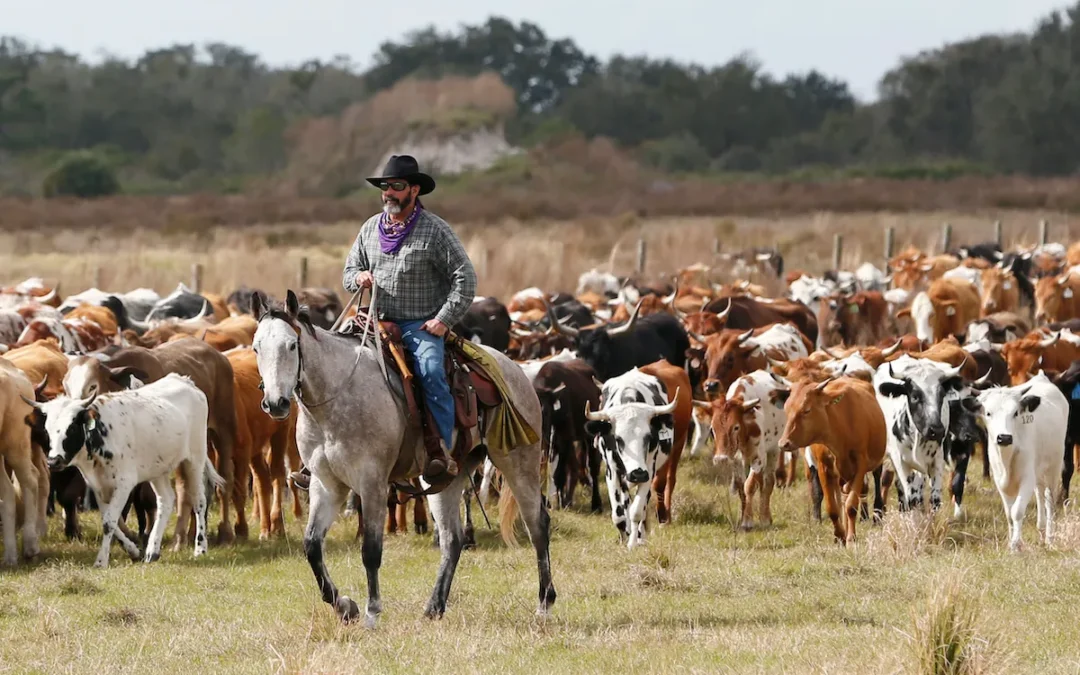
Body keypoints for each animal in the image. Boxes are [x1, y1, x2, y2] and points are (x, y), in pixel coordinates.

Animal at [28, 373, 225, 566]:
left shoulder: (124, 484)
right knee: (166, 500)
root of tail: (185, 381)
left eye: (71, 428)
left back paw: (200, 548)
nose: (54, 460)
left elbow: (109, 522)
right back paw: (152, 551)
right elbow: (112, 522)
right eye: (48, 430)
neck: (102, 433)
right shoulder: (98, 486)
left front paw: (101, 561)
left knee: (199, 500)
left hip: (194, 460)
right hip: (158, 468)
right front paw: (133, 551)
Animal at [584, 361, 690, 548]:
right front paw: (623, 538)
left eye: (649, 437)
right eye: (618, 438)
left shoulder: (649, 470)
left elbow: (636, 511)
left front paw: (634, 542)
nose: (637, 473)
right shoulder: (612, 472)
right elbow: (619, 515)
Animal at [777, 373, 887, 543]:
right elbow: (832, 507)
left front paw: (850, 537)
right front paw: (840, 535)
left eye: (806, 410)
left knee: (874, 478)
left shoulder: (860, 465)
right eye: (787, 409)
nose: (784, 443)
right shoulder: (824, 467)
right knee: (842, 496)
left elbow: (851, 505)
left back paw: (876, 516)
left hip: (874, 462)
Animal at [971, 372, 1067, 551]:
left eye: (1015, 413)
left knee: (1049, 500)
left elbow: (1017, 511)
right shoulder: (1000, 483)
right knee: (1040, 494)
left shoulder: (1027, 479)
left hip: (1054, 467)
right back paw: (1041, 530)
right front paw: (1010, 541)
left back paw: (1049, 538)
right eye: (988, 413)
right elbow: (1009, 514)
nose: (1004, 437)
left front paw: (1016, 545)